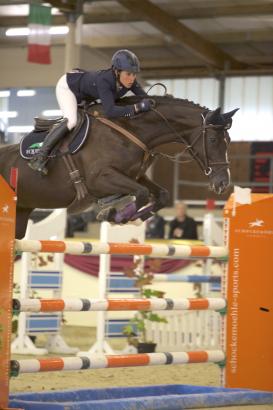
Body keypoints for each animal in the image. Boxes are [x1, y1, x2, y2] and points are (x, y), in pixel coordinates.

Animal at [0, 94, 237, 239]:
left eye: (229, 141)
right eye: (213, 140)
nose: (223, 183)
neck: (132, 130)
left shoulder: (136, 176)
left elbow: (161, 195)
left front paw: (132, 218)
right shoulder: (100, 178)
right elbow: (140, 193)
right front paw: (113, 215)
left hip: (21, 212)